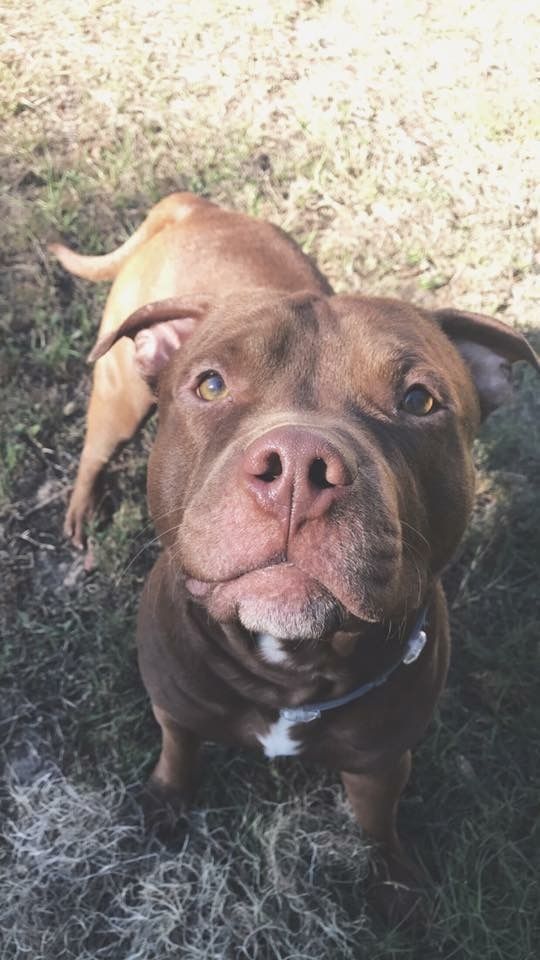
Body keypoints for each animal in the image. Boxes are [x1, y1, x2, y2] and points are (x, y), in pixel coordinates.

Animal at [52, 195, 536, 924]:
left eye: (419, 400)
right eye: (211, 385)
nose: (300, 467)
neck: (289, 672)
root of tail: (197, 205)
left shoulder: (381, 763)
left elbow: (378, 825)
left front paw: (394, 881)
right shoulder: (175, 710)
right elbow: (177, 755)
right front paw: (164, 803)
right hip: (118, 393)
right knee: (94, 449)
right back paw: (82, 509)